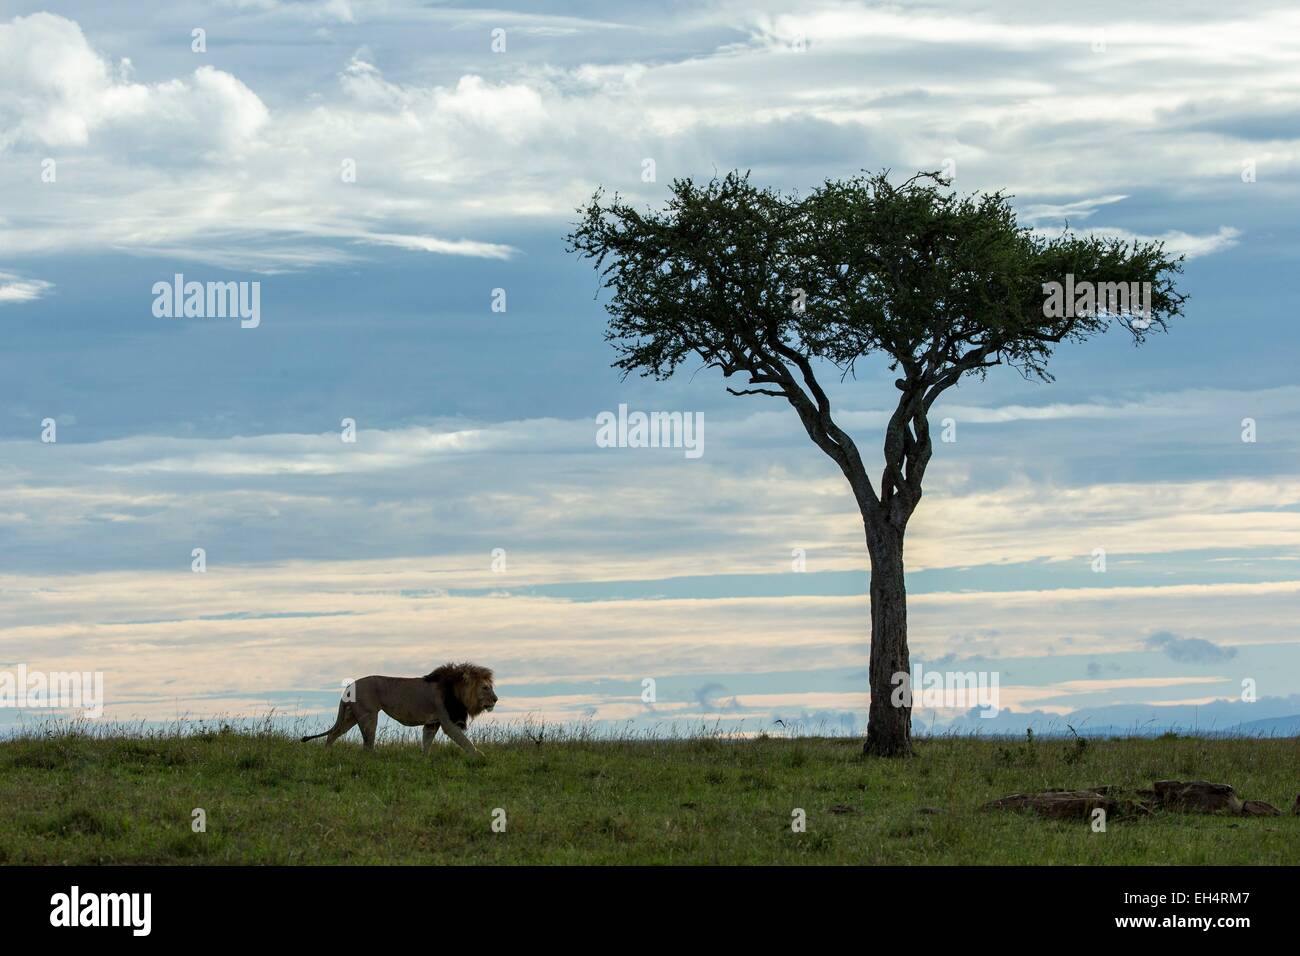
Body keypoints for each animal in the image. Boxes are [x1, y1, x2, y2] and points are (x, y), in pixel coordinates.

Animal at [301, 662, 497, 757]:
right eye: (485, 688)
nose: (496, 699)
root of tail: (349, 686)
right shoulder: (447, 720)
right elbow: (465, 741)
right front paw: (480, 756)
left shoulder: (432, 722)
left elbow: (427, 742)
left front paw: (424, 759)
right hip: (368, 715)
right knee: (367, 744)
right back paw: (374, 758)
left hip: (351, 716)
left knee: (333, 734)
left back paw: (327, 754)